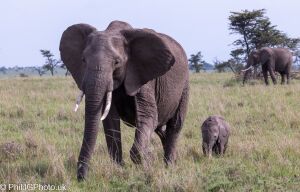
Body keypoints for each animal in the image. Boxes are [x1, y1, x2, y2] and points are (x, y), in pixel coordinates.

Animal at [59, 21, 189, 182]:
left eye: (117, 62)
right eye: (83, 60)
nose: (81, 179)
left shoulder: (143, 77)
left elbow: (148, 117)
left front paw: (146, 164)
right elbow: (110, 121)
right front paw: (119, 169)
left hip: (185, 85)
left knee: (175, 124)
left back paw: (169, 166)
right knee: (160, 128)